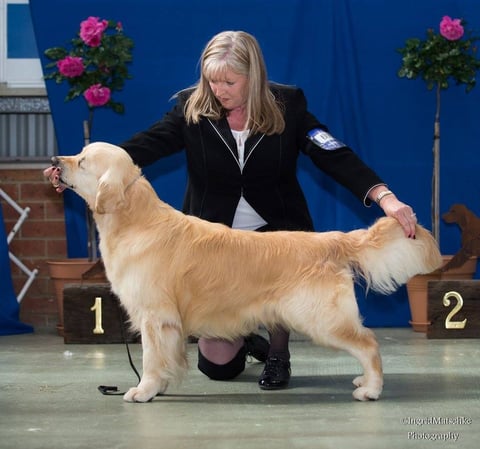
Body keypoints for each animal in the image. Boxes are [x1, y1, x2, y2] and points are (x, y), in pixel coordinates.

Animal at [48, 142, 442, 400]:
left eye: (82, 161)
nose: (53, 160)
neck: (134, 219)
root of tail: (333, 240)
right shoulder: (165, 321)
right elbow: (166, 357)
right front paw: (160, 387)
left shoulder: (154, 316)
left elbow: (150, 358)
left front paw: (143, 391)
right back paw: (362, 381)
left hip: (321, 319)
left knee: (369, 343)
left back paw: (371, 389)